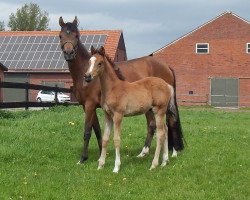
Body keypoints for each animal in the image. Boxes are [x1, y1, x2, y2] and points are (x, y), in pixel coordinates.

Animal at [58, 16, 184, 164]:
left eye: (76, 35)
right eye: (61, 36)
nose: (69, 53)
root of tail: (167, 66)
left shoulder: (89, 105)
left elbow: (87, 131)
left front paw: (83, 158)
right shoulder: (88, 106)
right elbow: (98, 130)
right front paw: (102, 154)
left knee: (170, 123)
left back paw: (173, 152)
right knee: (153, 125)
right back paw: (144, 152)